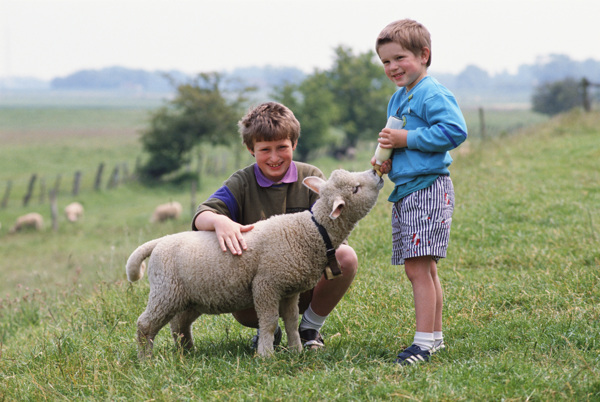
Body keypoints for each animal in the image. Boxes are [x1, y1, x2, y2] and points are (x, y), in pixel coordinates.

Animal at [125, 169, 384, 358]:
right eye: (356, 189)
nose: (376, 173)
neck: (311, 230)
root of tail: (160, 241)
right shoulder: (266, 284)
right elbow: (269, 322)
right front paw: (266, 356)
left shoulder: (289, 290)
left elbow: (291, 321)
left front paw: (296, 350)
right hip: (165, 291)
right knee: (145, 325)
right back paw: (146, 359)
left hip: (191, 297)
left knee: (179, 324)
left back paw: (187, 352)